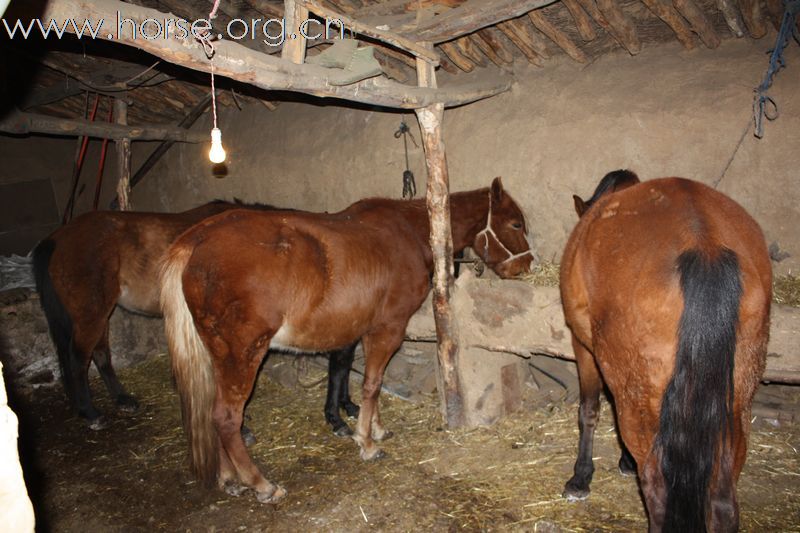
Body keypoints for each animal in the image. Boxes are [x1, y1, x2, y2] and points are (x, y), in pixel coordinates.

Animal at [159, 179, 536, 502]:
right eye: (516, 224)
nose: (526, 266)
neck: (408, 232)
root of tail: (197, 239)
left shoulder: (366, 331)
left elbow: (371, 382)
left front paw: (375, 429)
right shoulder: (388, 328)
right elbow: (371, 384)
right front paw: (366, 442)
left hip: (217, 355)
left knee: (213, 413)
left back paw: (228, 478)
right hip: (242, 355)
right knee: (226, 418)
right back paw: (260, 483)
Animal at [560, 171, 772, 532]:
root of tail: (705, 245)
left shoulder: (585, 348)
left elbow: (589, 411)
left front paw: (581, 478)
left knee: (658, 490)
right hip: (733, 409)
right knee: (723, 501)